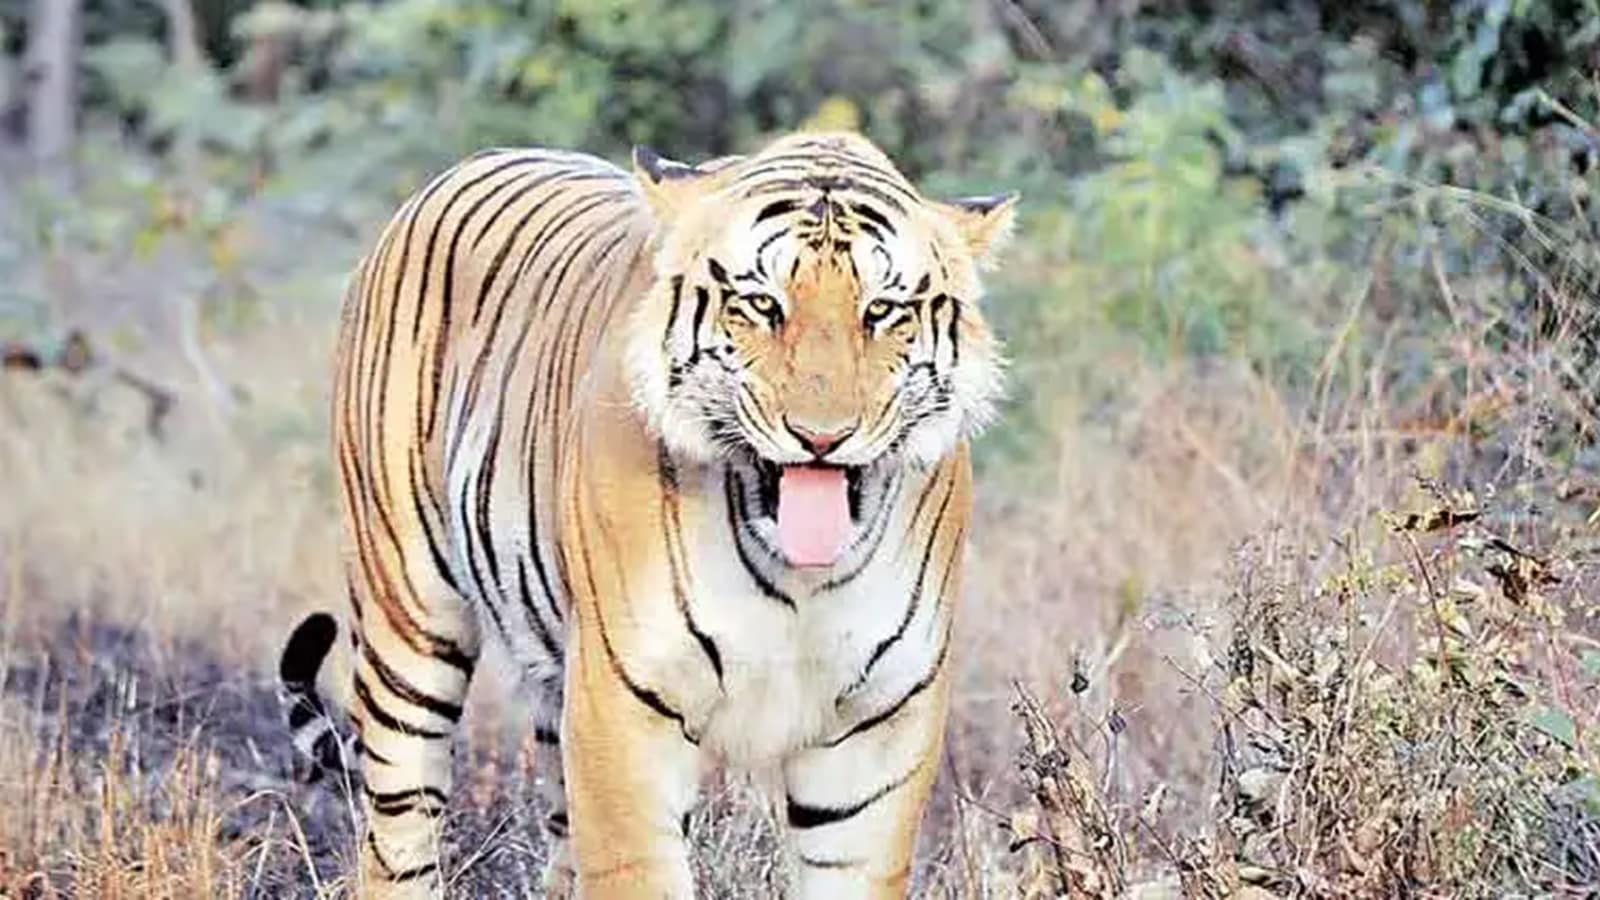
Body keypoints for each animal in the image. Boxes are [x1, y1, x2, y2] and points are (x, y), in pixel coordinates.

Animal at [278, 130, 1015, 898]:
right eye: (761, 304)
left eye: (882, 310)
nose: (821, 436)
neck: (796, 574)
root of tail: (470, 162)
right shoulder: (623, 707)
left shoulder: (880, 727)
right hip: (408, 624)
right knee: (398, 831)